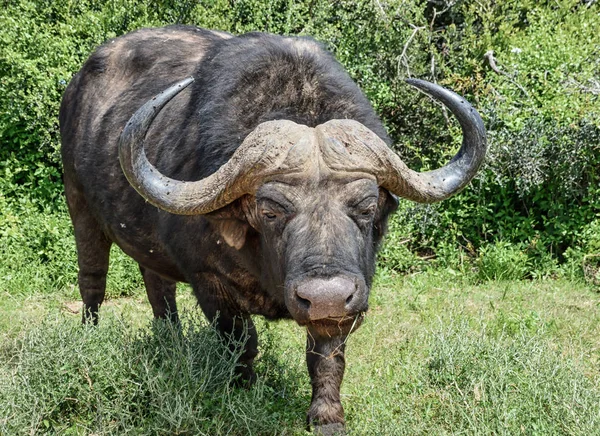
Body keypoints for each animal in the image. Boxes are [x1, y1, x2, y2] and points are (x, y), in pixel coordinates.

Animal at [58, 25, 486, 434]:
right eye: (270, 210)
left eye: (366, 207)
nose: (326, 296)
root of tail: (77, 87)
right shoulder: (209, 280)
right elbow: (240, 340)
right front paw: (244, 391)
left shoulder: (350, 294)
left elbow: (327, 355)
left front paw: (327, 416)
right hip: (79, 204)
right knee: (93, 279)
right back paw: (90, 336)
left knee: (158, 286)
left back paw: (171, 344)